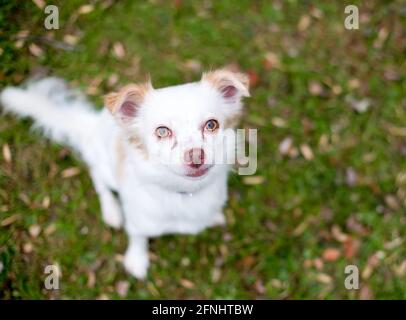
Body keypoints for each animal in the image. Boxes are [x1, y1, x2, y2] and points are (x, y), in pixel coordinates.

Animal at [0, 69, 251, 278]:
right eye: (162, 131)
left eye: (211, 125)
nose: (196, 156)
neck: (184, 192)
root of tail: (93, 124)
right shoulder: (138, 221)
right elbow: (138, 237)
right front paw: (137, 260)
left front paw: (214, 216)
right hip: (105, 168)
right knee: (98, 178)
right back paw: (111, 211)